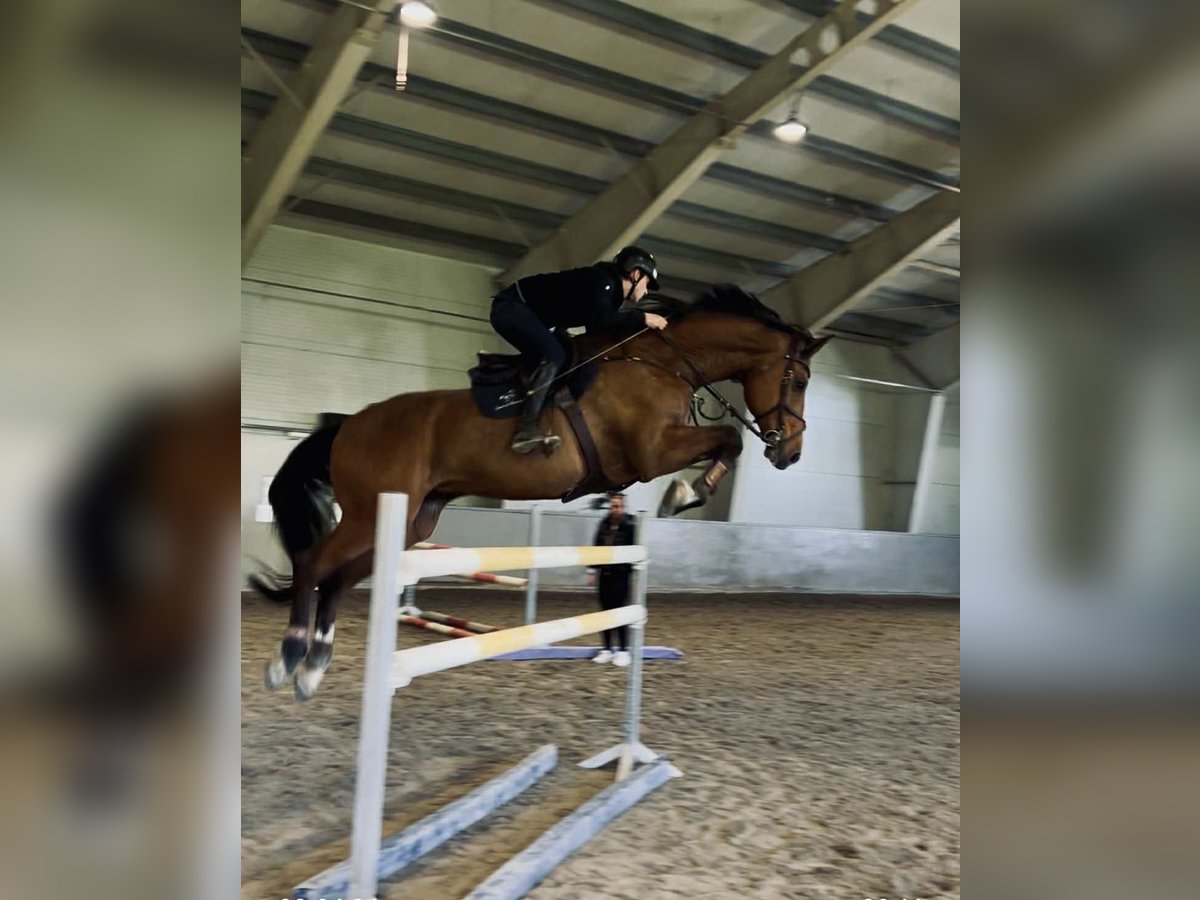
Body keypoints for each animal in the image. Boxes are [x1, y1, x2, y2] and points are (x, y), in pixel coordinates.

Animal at [253, 285, 829, 699]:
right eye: (799, 381)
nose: (791, 453)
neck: (662, 363)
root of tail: (348, 424)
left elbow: (728, 442)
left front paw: (689, 492)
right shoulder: (652, 452)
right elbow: (729, 438)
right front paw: (685, 493)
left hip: (411, 521)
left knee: (337, 578)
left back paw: (314, 668)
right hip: (369, 514)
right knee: (313, 564)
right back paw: (288, 659)